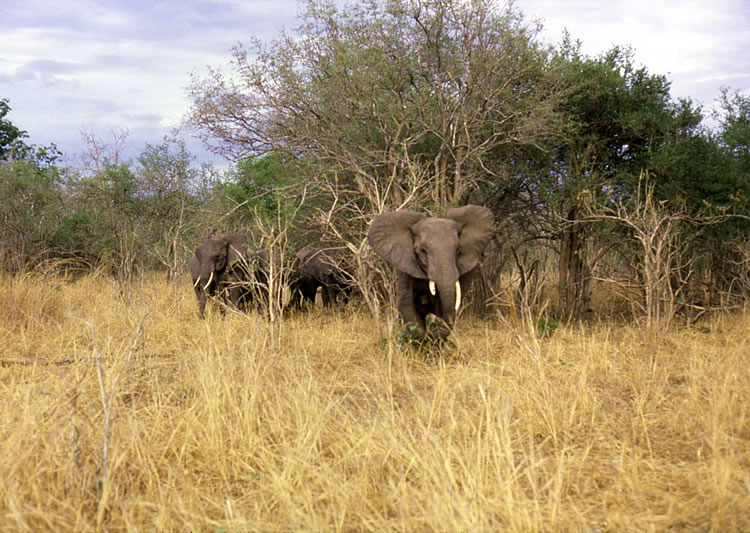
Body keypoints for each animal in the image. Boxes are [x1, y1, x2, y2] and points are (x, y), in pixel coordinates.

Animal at [368, 205, 494, 339]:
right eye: (423, 251)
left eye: (458, 250)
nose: (432, 331)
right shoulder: (406, 266)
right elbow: (405, 302)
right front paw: (424, 336)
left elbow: (442, 305)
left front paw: (434, 336)